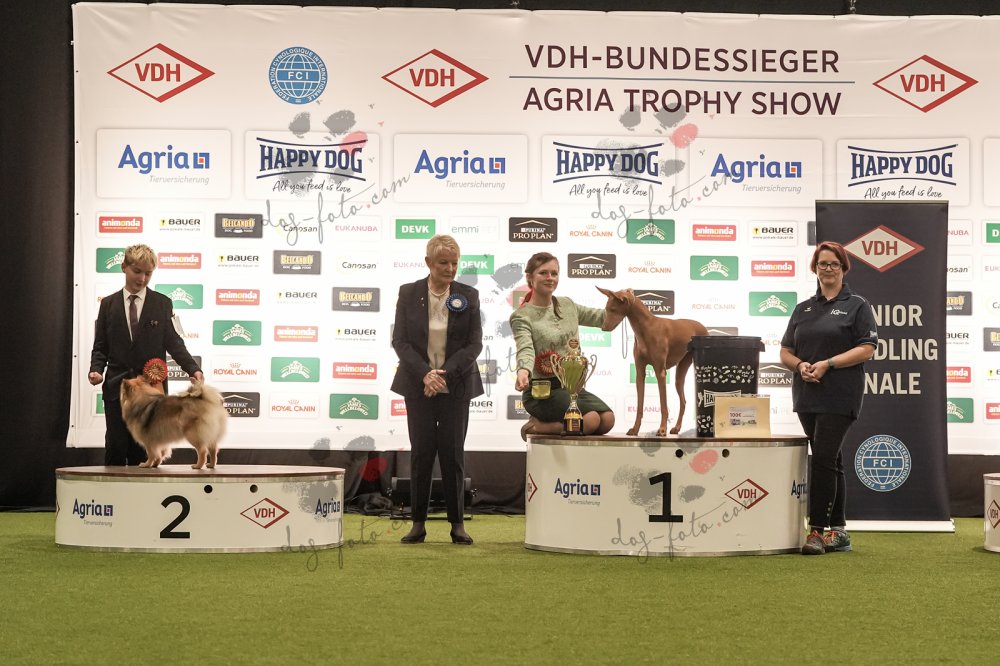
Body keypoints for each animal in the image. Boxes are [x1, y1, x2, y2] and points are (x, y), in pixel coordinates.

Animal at [598, 287, 708, 436]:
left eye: (613, 309)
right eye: (606, 309)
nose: (603, 328)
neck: (645, 327)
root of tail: (703, 326)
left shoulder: (660, 372)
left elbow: (663, 405)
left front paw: (662, 429)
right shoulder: (640, 373)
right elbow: (639, 406)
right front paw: (635, 429)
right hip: (680, 374)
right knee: (683, 401)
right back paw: (676, 428)